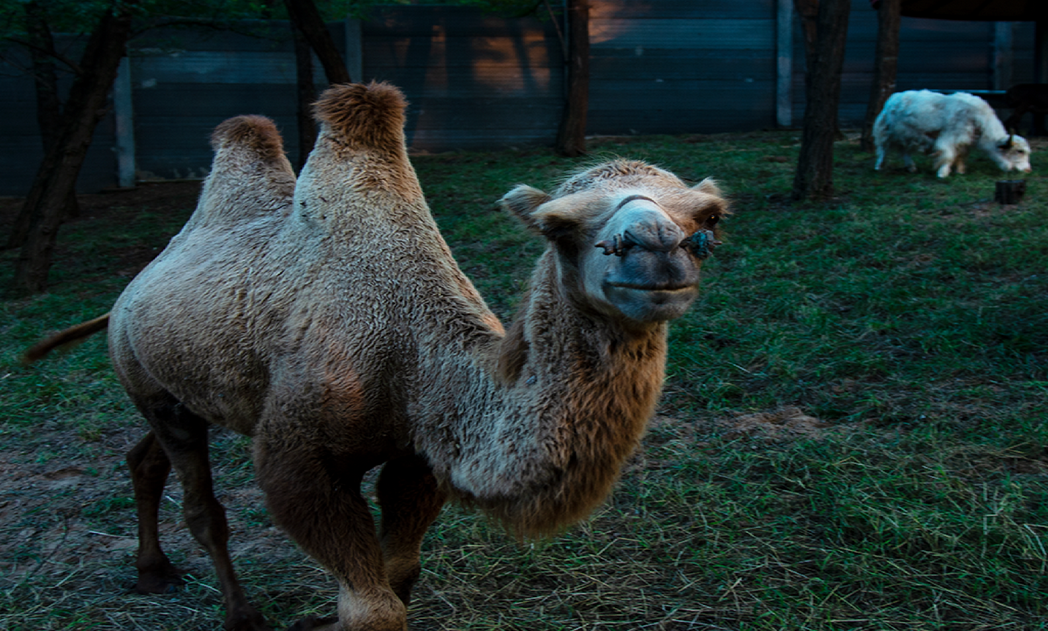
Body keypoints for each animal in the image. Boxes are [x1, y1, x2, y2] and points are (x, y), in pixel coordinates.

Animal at [26, 83, 729, 628]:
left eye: (709, 221)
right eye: (557, 227)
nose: (657, 250)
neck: (414, 354)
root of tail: (127, 293)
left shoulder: (417, 456)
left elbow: (401, 575)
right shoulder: (298, 456)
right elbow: (372, 605)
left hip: (184, 388)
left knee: (144, 457)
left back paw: (151, 571)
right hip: (148, 378)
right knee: (202, 506)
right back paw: (240, 614)